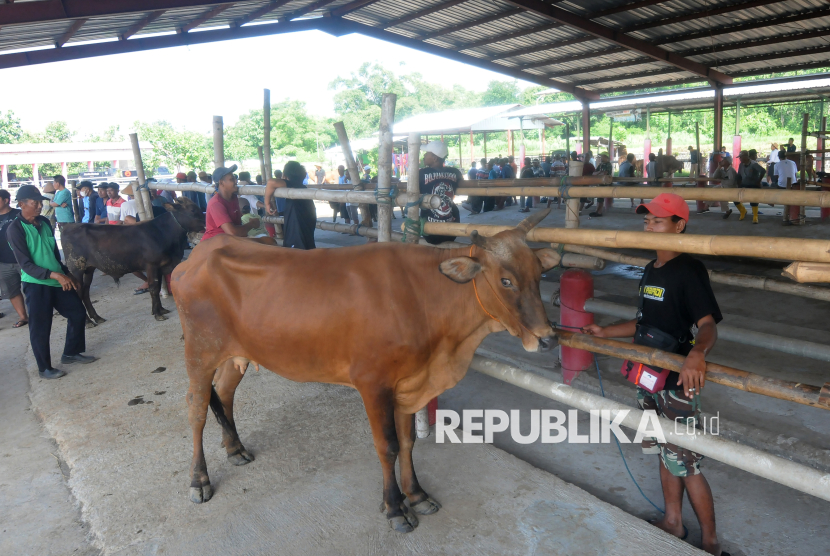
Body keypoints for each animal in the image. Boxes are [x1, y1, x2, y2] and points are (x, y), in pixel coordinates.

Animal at [174, 211, 564, 532]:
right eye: (505, 280)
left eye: (539, 273)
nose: (547, 339)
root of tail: (196, 255)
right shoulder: (373, 385)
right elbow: (387, 446)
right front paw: (395, 508)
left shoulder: (409, 384)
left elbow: (407, 442)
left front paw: (416, 495)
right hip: (199, 351)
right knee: (196, 408)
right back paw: (199, 481)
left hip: (235, 353)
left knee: (224, 392)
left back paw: (235, 448)